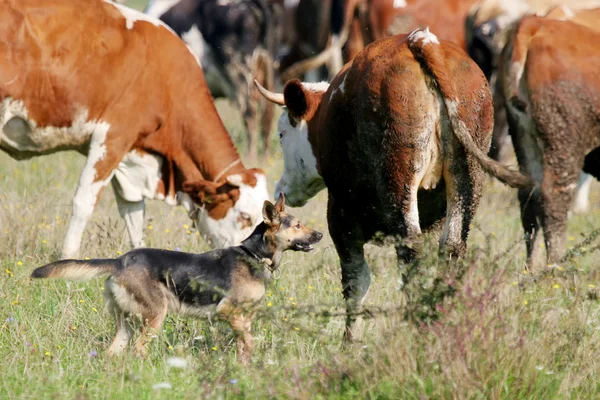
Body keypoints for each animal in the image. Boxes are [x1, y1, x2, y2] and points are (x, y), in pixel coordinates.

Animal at [0, 0, 268, 256]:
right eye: (245, 216)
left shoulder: (131, 154)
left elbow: (134, 213)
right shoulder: (112, 137)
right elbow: (84, 202)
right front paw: (68, 255)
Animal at [31, 195, 324, 366]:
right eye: (297, 225)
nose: (321, 235)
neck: (254, 255)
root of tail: (119, 261)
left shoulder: (244, 319)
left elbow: (245, 346)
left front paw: (245, 369)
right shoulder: (227, 311)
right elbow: (249, 342)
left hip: (126, 322)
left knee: (115, 351)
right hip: (155, 315)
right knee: (138, 349)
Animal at [255, 29, 532, 340]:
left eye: (281, 134)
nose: (281, 187)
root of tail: (421, 40)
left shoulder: (341, 217)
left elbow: (356, 281)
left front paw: (350, 341)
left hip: (399, 182)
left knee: (410, 251)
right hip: (467, 178)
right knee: (451, 249)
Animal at [500, 14, 600, 268]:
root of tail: (537, 25)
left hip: (524, 138)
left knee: (529, 196)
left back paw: (532, 266)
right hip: (564, 143)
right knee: (554, 196)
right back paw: (557, 264)